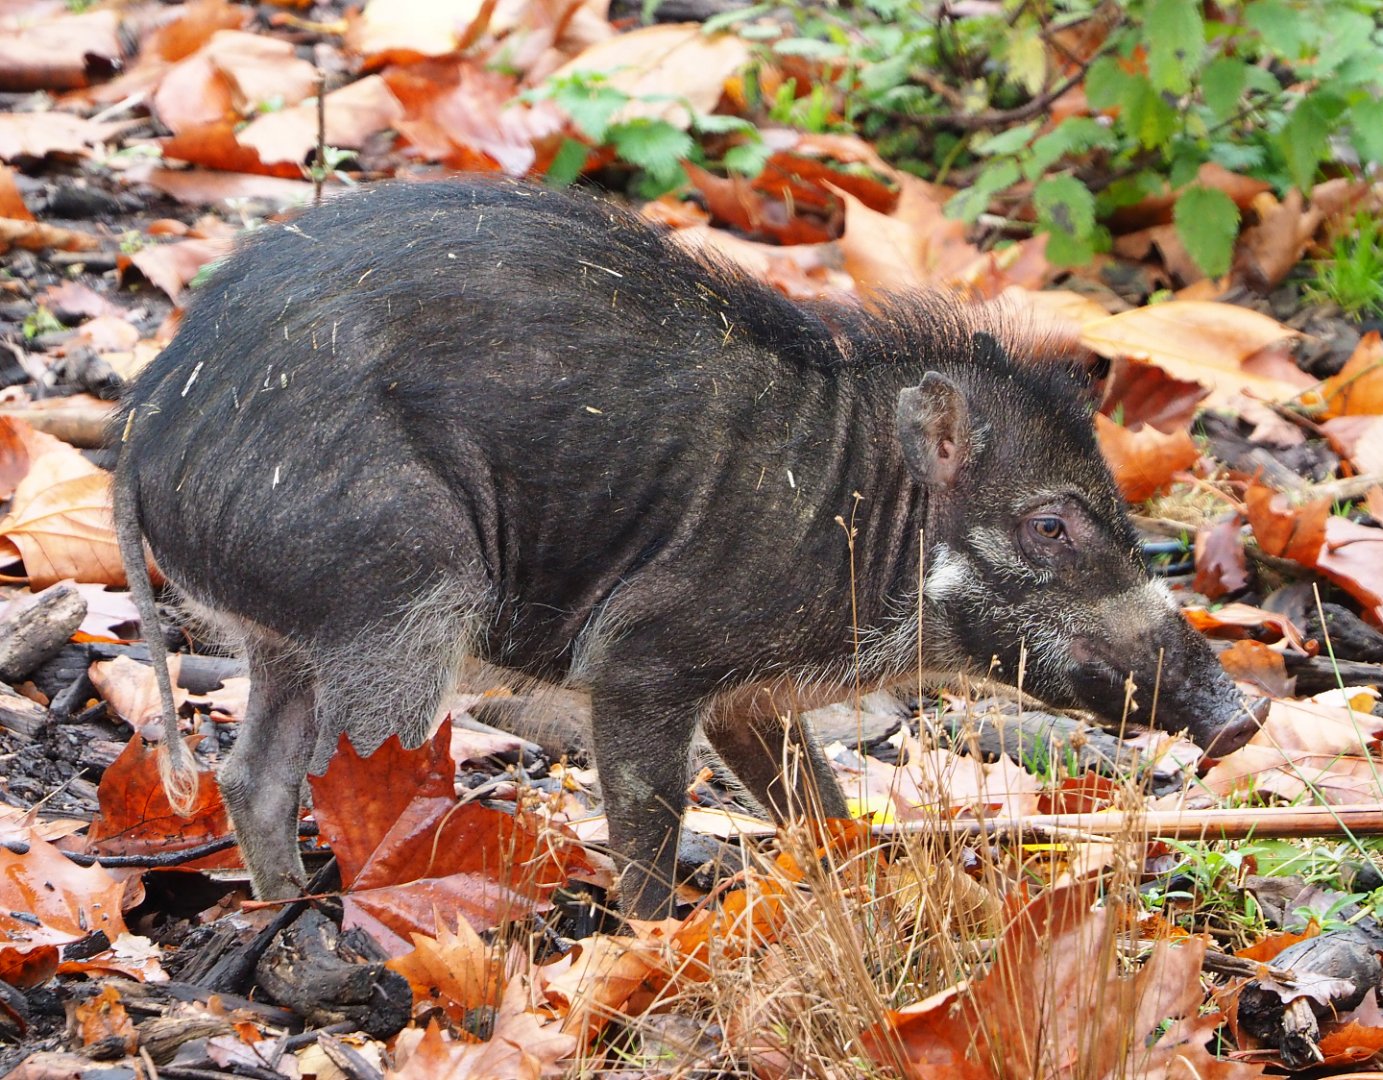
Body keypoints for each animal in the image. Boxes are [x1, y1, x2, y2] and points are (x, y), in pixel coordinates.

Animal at [113, 177, 1259, 918]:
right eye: (1050, 525)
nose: (1243, 716)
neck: (863, 517)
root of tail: (146, 425)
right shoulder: (641, 658)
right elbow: (647, 830)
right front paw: (653, 944)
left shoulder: (751, 698)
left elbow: (816, 807)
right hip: (395, 594)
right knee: (346, 769)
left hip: (286, 632)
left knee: (252, 774)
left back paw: (279, 912)